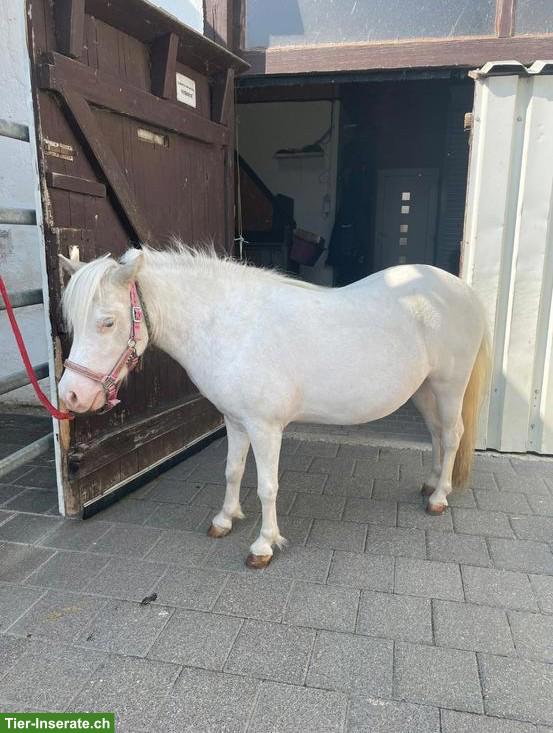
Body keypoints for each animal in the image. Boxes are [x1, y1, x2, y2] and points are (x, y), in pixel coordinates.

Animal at [58, 244, 489, 568]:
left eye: (108, 322)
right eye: (73, 324)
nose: (71, 396)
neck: (232, 328)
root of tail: (463, 290)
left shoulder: (265, 427)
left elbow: (267, 487)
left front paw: (264, 545)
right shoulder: (235, 421)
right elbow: (232, 471)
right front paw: (224, 520)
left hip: (449, 386)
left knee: (452, 435)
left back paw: (439, 498)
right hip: (425, 390)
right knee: (436, 434)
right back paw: (431, 483)